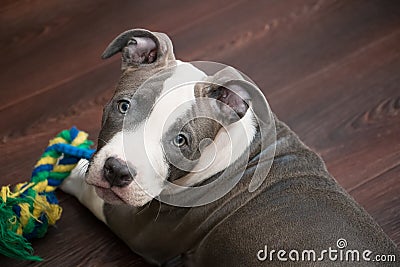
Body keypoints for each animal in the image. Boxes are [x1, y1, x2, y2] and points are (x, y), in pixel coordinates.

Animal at [61, 28, 398, 266]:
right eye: (124, 106)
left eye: (181, 141)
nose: (117, 171)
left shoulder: (138, 228)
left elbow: (91, 193)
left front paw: (69, 169)